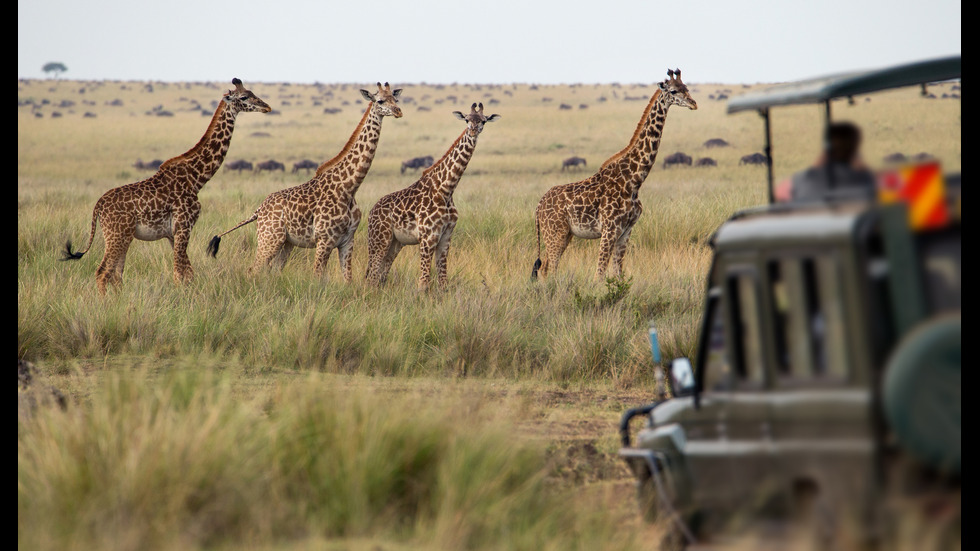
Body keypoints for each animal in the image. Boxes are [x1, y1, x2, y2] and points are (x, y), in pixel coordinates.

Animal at [61, 78, 272, 296]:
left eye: (252, 93)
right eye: (244, 97)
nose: (267, 107)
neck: (196, 179)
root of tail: (98, 206)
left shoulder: (173, 233)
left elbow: (188, 273)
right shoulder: (183, 226)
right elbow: (180, 273)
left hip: (123, 236)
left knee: (116, 274)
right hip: (117, 235)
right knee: (103, 272)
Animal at [209, 83, 404, 282]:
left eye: (395, 99)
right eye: (380, 100)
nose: (398, 111)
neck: (349, 187)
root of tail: (259, 210)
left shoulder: (348, 240)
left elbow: (347, 279)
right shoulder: (325, 239)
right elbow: (317, 276)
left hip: (286, 242)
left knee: (274, 270)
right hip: (269, 238)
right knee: (254, 269)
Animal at [366, 105, 502, 292]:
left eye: (483, 121)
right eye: (467, 119)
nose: (473, 130)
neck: (446, 190)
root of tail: (371, 212)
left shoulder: (446, 236)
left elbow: (443, 281)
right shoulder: (427, 237)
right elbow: (423, 283)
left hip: (395, 242)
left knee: (381, 274)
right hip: (379, 239)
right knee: (372, 276)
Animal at [528, 69, 696, 280]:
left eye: (686, 88)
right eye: (673, 91)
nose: (693, 103)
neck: (634, 181)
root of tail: (538, 207)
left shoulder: (626, 230)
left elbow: (618, 274)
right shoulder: (609, 229)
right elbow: (599, 274)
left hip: (565, 234)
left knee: (547, 268)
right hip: (554, 233)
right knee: (548, 269)